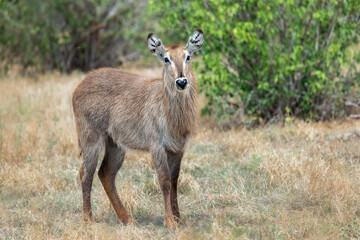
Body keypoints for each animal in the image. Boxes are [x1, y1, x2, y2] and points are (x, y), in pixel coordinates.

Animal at [71, 29, 204, 228]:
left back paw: (126, 218)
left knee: (106, 174)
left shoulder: (178, 148)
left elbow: (174, 181)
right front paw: (169, 221)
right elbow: (164, 181)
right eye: (166, 59)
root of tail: (80, 85)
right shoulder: (157, 145)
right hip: (91, 138)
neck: (170, 114)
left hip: (115, 145)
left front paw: (179, 219)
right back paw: (88, 219)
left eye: (188, 56)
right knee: (85, 173)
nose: (181, 82)